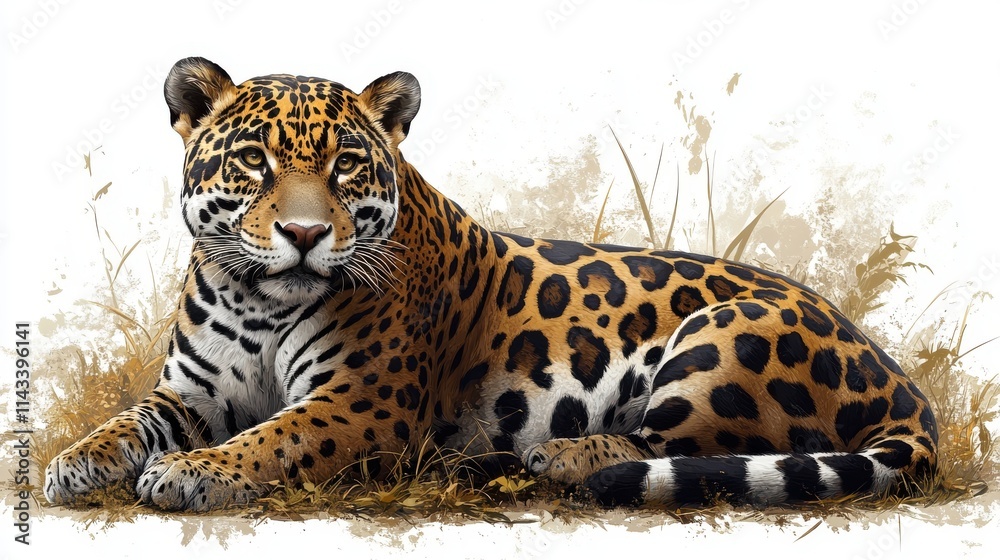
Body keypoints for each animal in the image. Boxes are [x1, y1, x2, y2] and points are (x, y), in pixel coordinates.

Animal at [44, 57, 938, 511]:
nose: (303, 236)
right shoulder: (191, 394)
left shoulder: (360, 404)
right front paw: (70, 463)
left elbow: (276, 438)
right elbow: (126, 424)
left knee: (685, 450)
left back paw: (554, 458)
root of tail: (899, 377)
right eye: (254, 162)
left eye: (346, 166)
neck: (257, 301)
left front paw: (196, 474)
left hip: (725, 338)